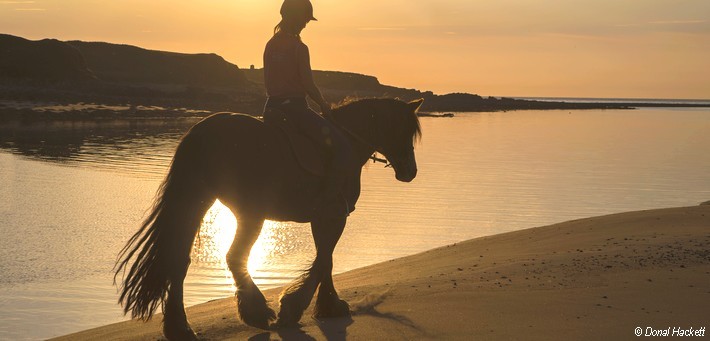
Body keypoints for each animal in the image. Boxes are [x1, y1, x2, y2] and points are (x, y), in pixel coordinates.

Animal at [114, 97, 426, 338]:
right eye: (403, 130)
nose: (410, 171)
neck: (348, 140)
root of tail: (201, 134)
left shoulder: (322, 217)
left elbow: (326, 259)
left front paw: (327, 306)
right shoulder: (334, 214)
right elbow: (324, 259)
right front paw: (295, 307)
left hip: (197, 201)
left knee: (178, 259)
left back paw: (179, 327)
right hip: (249, 212)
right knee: (234, 256)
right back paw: (256, 311)